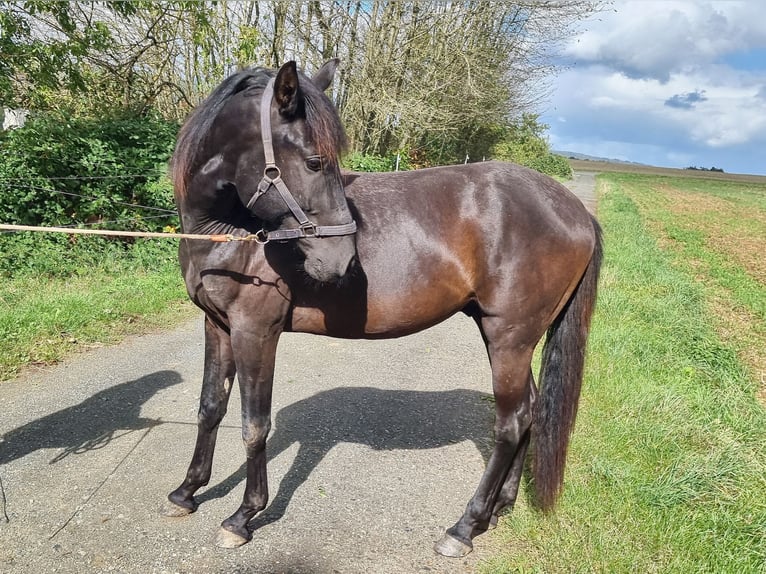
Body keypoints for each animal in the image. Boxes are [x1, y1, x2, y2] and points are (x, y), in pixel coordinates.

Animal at [165, 59, 604, 560]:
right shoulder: (217, 325)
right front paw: (186, 492)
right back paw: (500, 507)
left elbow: (254, 425)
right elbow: (210, 408)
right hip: (512, 338)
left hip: (509, 337)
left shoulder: (255, 331)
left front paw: (243, 516)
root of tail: (574, 210)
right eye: (315, 161)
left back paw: (464, 527)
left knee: (511, 423)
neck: (231, 233)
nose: (342, 261)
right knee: (529, 411)